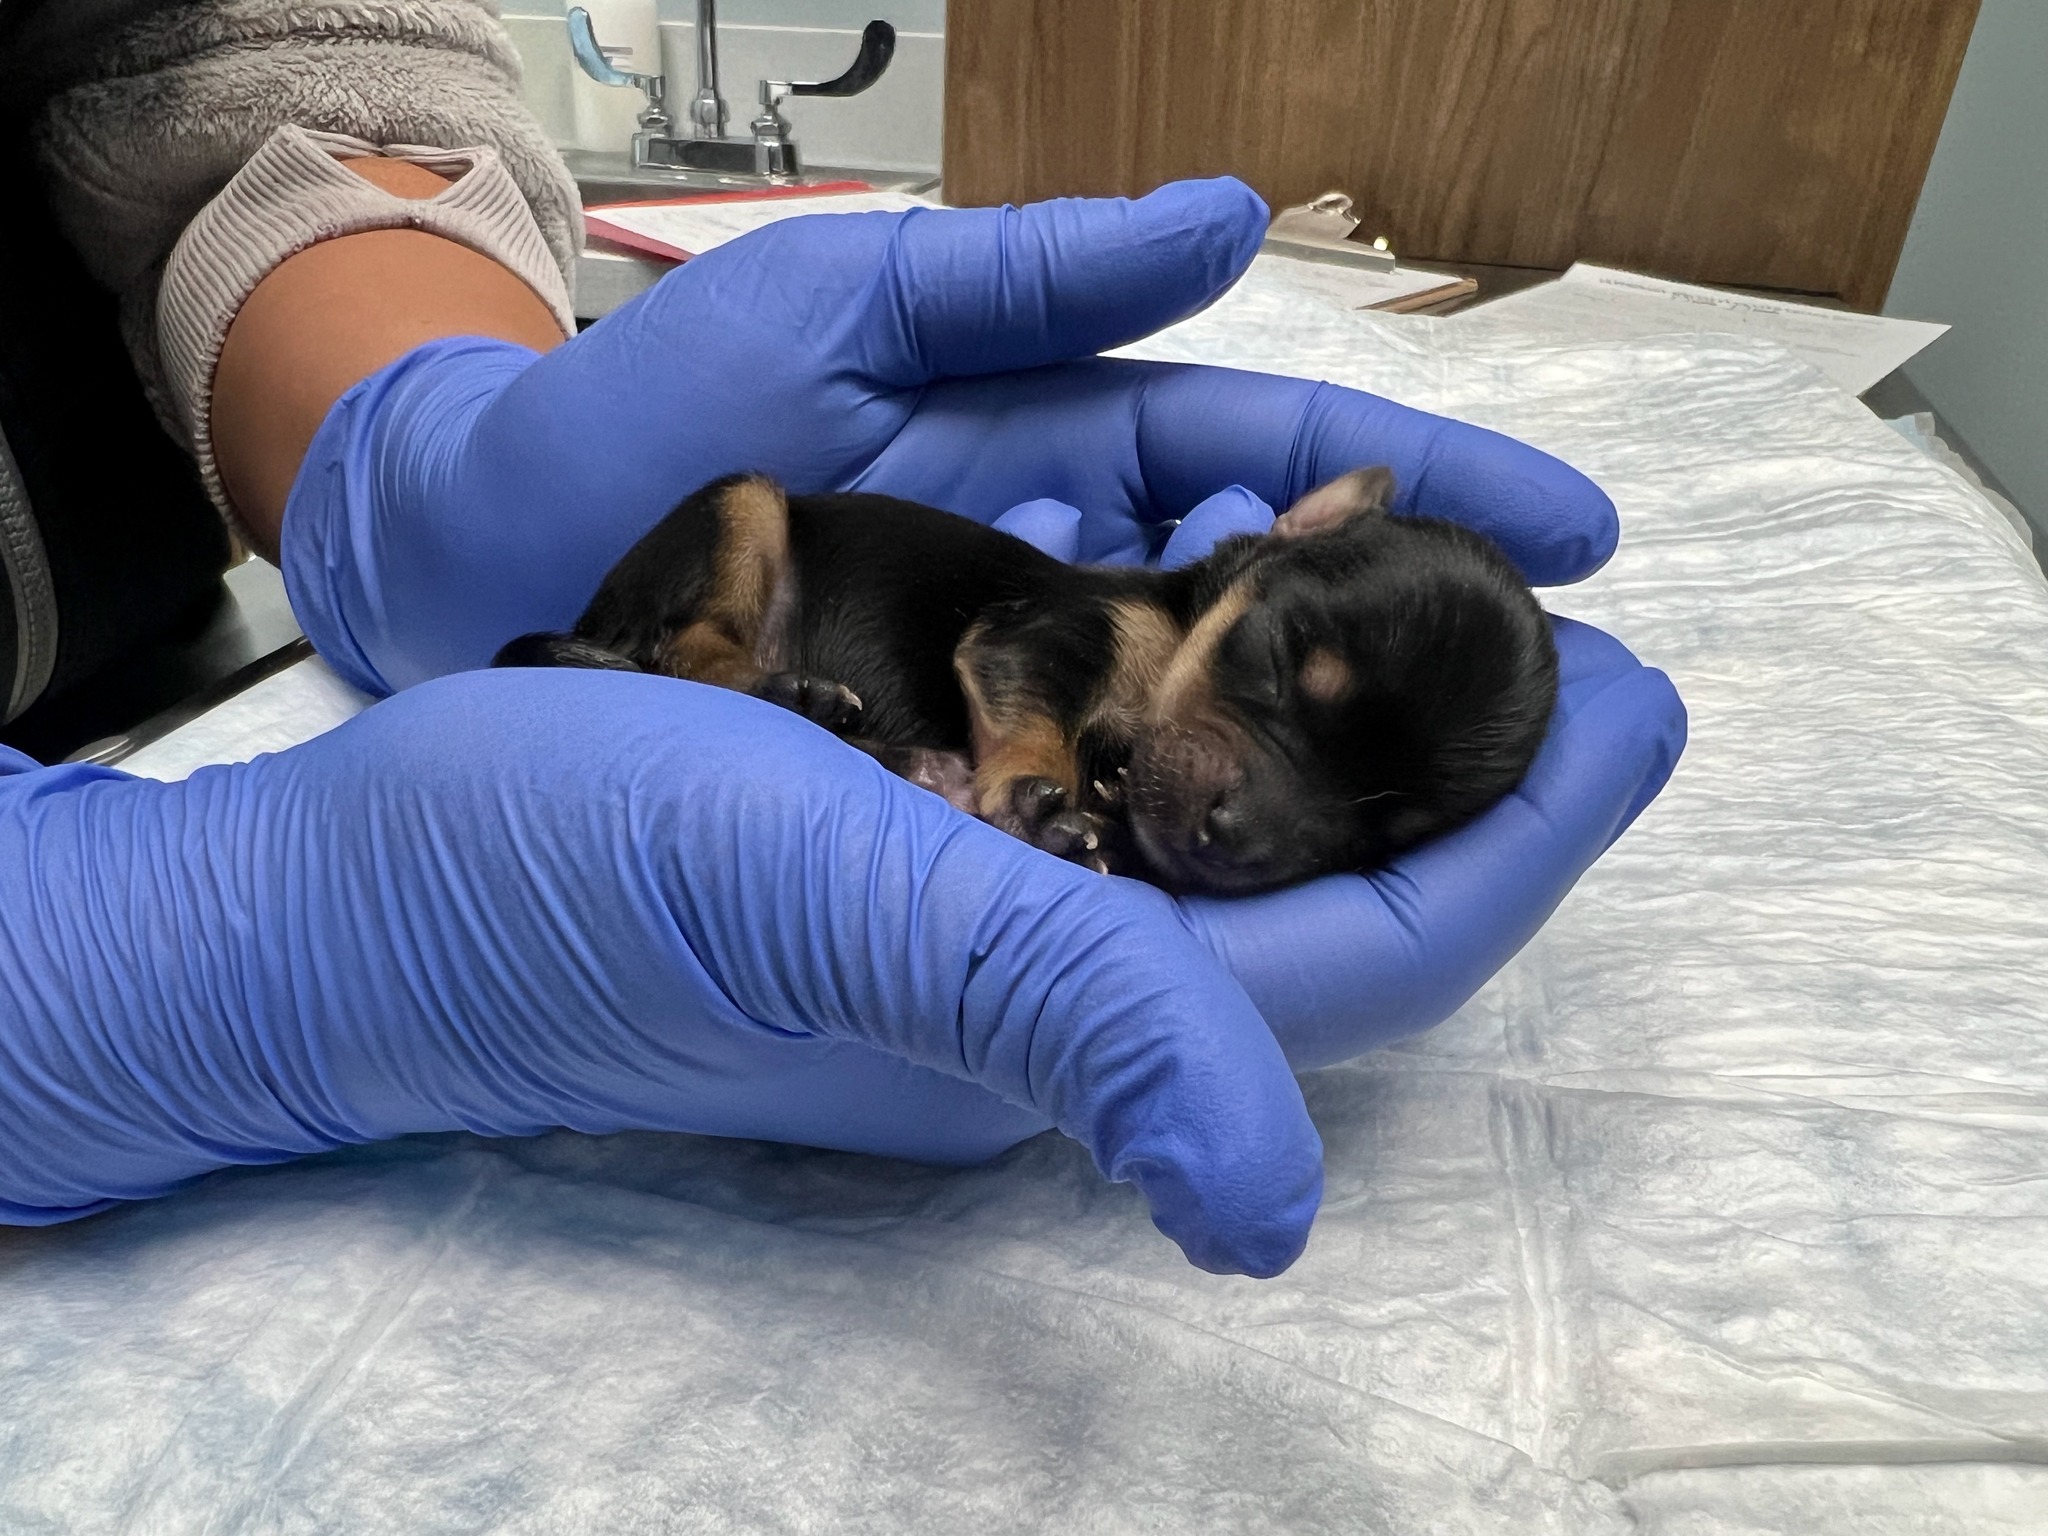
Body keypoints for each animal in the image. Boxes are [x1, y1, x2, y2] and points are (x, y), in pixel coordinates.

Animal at [491, 475, 1548, 897]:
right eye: (1281, 662)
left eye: (1380, 832)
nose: (1238, 840)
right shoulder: (1034, 641)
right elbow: (1036, 718)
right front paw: (1041, 804)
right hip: (741, 508)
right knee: (685, 649)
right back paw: (799, 695)